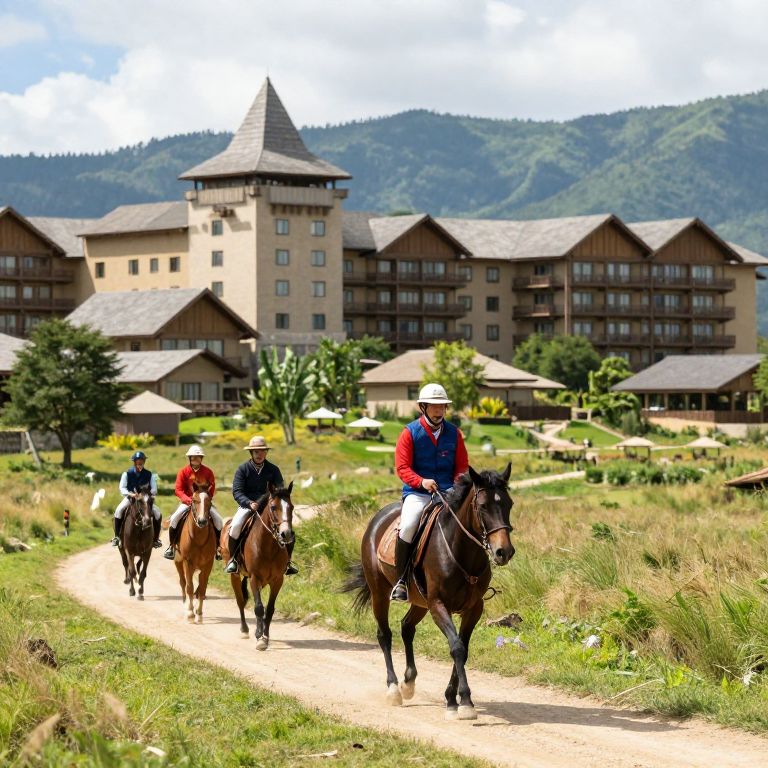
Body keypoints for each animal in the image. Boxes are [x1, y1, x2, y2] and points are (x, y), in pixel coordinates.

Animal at [174, 481, 216, 624]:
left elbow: (202, 589)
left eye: (209, 501)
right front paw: (190, 614)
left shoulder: (208, 564)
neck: (198, 537)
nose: (202, 521)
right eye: (194, 500)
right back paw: (185, 606)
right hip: (178, 562)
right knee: (183, 583)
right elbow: (189, 587)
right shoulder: (188, 562)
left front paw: (199, 614)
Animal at [220, 482, 294, 650]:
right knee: (240, 601)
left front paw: (265, 636)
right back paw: (244, 630)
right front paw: (259, 638)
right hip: (234, 575)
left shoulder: (277, 580)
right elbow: (259, 608)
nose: (286, 534)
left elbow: (270, 609)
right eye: (273, 507)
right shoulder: (255, 578)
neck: (268, 546)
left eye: (292, 507)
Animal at [343, 464, 515, 721]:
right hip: (380, 593)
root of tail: (379, 517)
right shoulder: (438, 605)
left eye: (509, 504)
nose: (504, 551)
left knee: (406, 627)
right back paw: (394, 689)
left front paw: (453, 699)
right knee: (385, 635)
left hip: (419, 602)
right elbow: (456, 647)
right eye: (483, 506)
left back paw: (408, 683)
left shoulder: (473, 609)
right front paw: (464, 701)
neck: (460, 550)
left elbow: (463, 649)